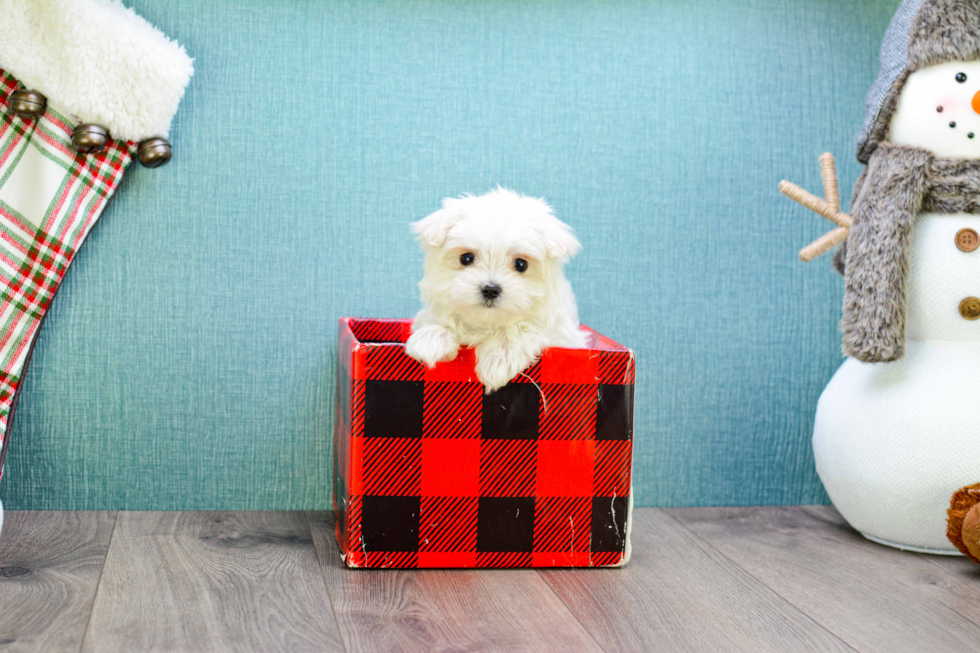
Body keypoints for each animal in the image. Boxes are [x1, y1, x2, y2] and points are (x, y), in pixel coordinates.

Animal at [408, 188, 588, 392]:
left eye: (521, 264)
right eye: (466, 258)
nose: (490, 289)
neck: (488, 324)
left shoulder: (563, 337)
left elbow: (524, 328)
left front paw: (500, 357)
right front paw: (431, 337)